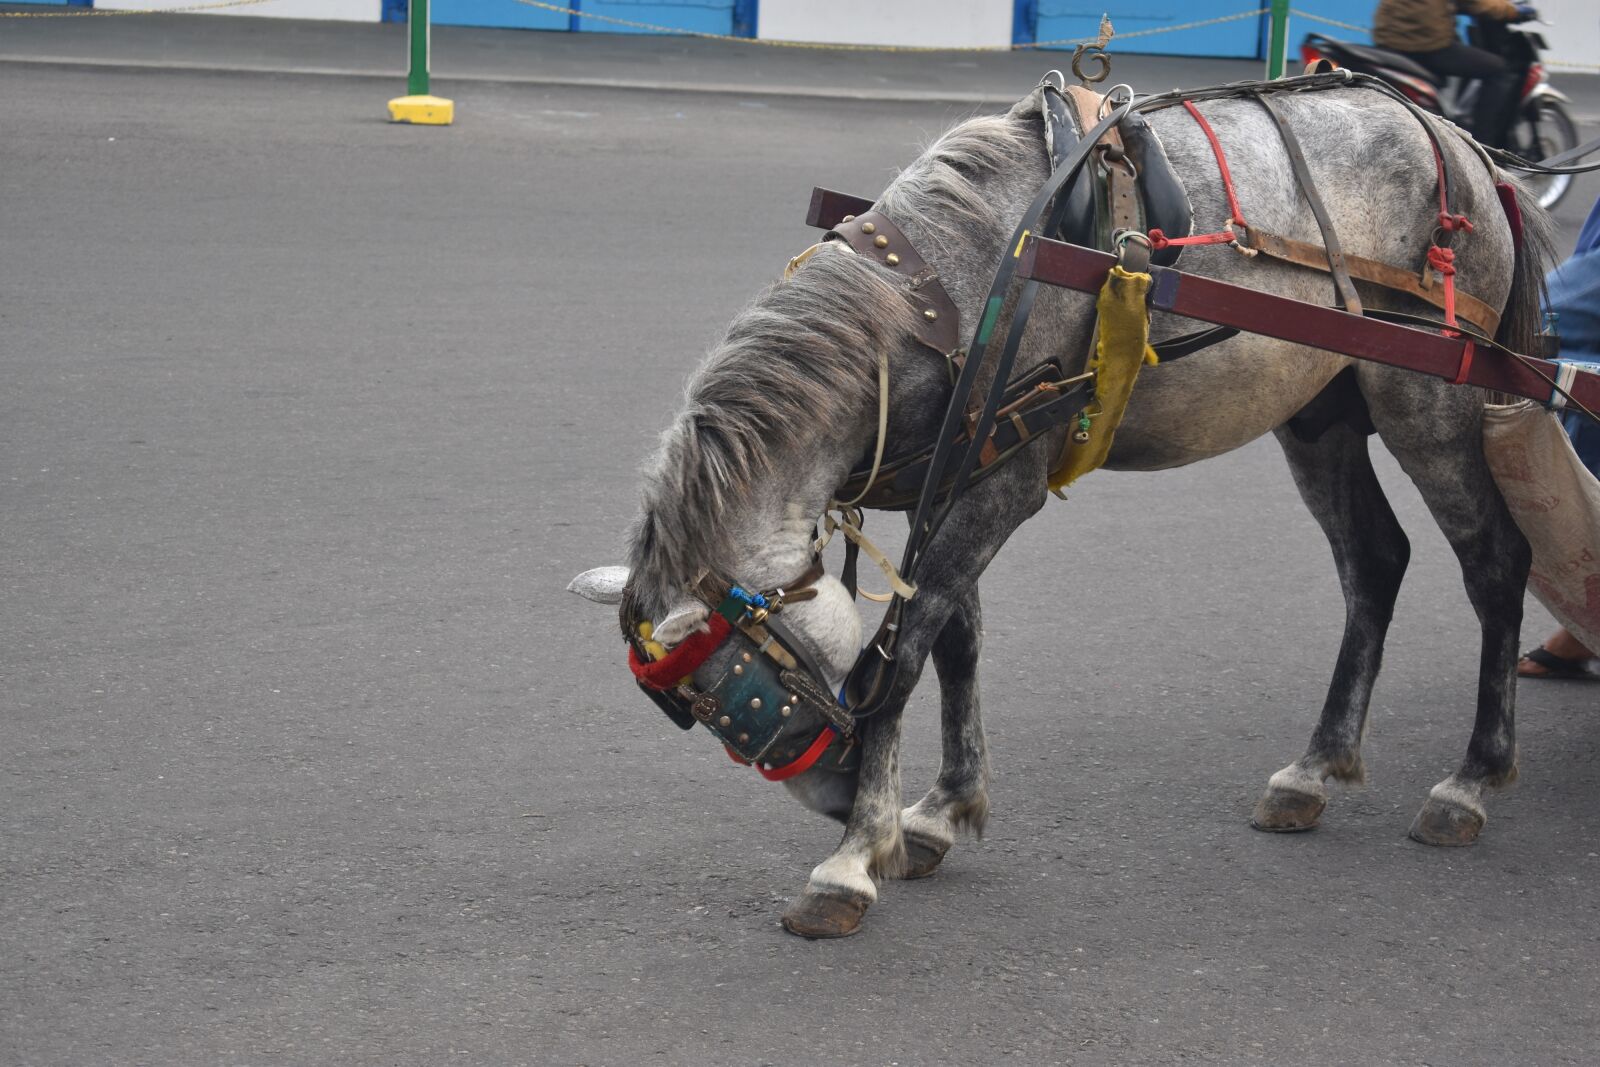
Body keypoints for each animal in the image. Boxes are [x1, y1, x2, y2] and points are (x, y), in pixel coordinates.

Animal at [569, 78, 1554, 939]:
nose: (838, 796)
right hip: (1322, 407)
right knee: (1374, 559)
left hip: (1429, 397)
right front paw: (939, 809)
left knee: (1495, 560)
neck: (940, 295)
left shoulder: (1002, 488)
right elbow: (957, 642)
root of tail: (1466, 148)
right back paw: (1314, 768)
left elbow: (902, 654)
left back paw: (1472, 778)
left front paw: (854, 858)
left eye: (741, 693)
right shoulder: (961, 476)